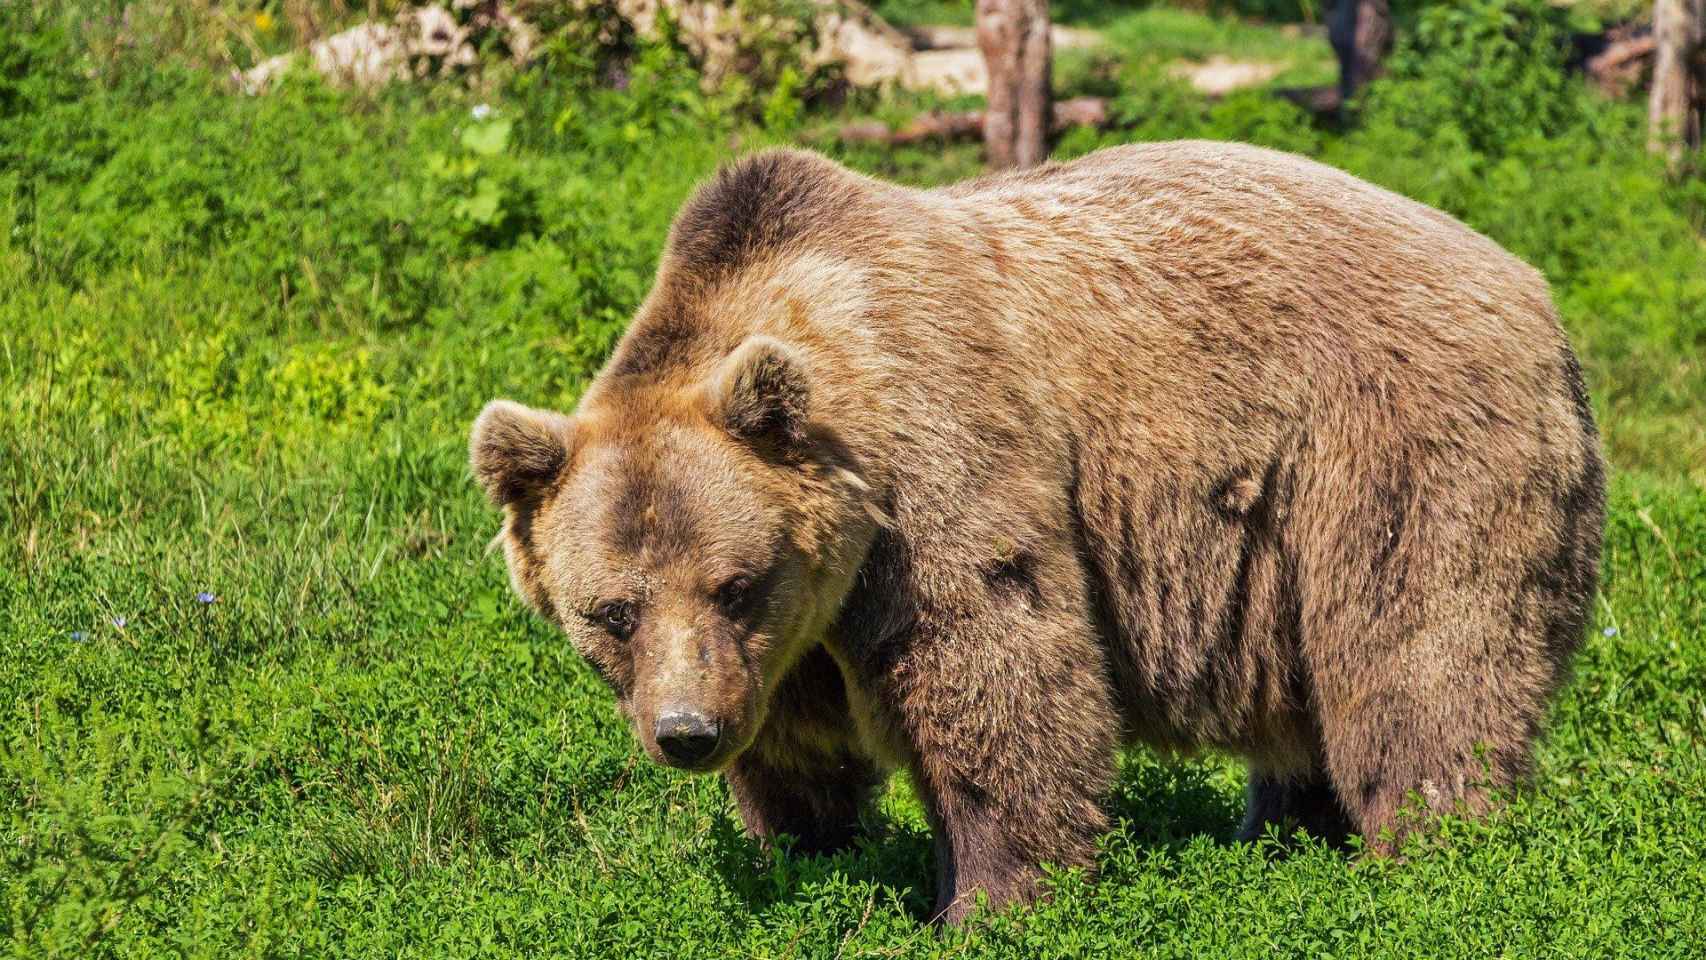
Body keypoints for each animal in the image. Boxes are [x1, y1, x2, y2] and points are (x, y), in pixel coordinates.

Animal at [474, 140, 1603, 920]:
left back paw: (1431, 851)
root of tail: (1533, 288)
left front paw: (987, 901)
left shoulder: (931, 470)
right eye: (611, 611)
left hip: (1392, 450)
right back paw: (1282, 836)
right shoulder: (789, 635)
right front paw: (806, 854)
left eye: (733, 583)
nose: (685, 733)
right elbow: (798, 749)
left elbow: (995, 669)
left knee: (1418, 658)